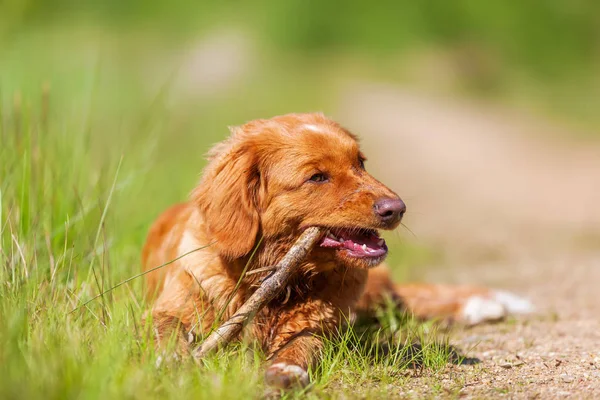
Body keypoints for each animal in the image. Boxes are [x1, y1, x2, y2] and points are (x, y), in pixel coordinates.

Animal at [142, 111, 536, 388]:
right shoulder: (167, 308)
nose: (397, 208)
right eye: (317, 177)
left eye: (360, 163)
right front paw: (170, 361)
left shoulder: (318, 330)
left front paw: (285, 369)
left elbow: (300, 347)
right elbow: (168, 330)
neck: (279, 281)